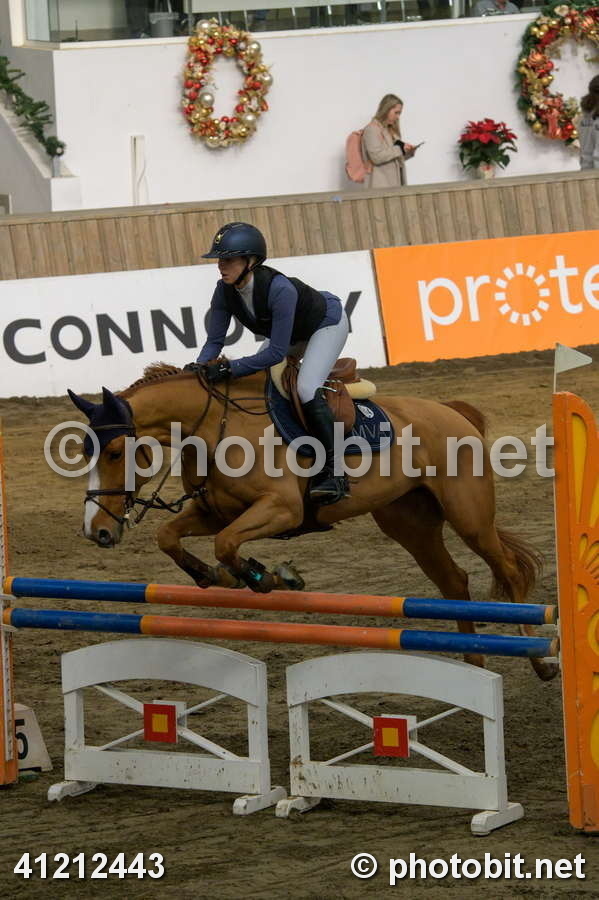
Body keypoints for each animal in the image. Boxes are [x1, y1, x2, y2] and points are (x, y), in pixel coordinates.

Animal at [68, 363, 556, 681]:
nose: (98, 531)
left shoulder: (281, 509)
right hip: (409, 523)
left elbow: (227, 543)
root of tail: (452, 411)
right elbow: (169, 535)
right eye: (84, 451)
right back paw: (472, 664)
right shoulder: (212, 512)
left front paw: (269, 578)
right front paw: (215, 576)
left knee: (507, 572)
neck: (213, 428)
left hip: (469, 518)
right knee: (454, 582)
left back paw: (542, 662)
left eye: (116, 453)